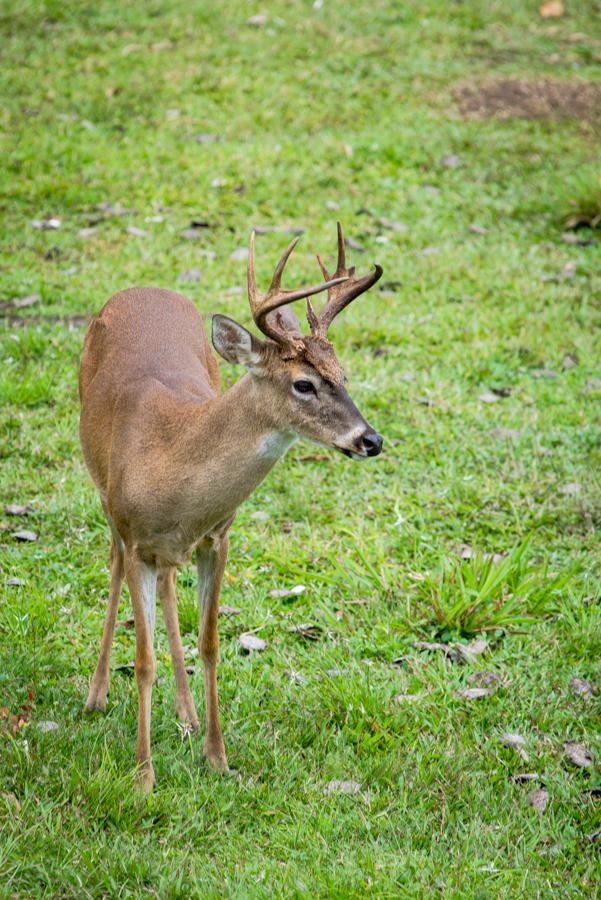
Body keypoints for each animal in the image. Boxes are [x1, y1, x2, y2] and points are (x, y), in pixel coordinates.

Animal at [77, 221, 382, 792]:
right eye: (303, 383)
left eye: (344, 374)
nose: (370, 440)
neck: (170, 461)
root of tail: (142, 288)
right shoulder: (134, 535)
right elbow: (143, 658)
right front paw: (143, 776)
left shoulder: (217, 537)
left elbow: (212, 643)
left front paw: (217, 757)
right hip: (105, 497)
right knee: (112, 565)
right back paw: (97, 695)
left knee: (169, 584)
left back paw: (187, 714)